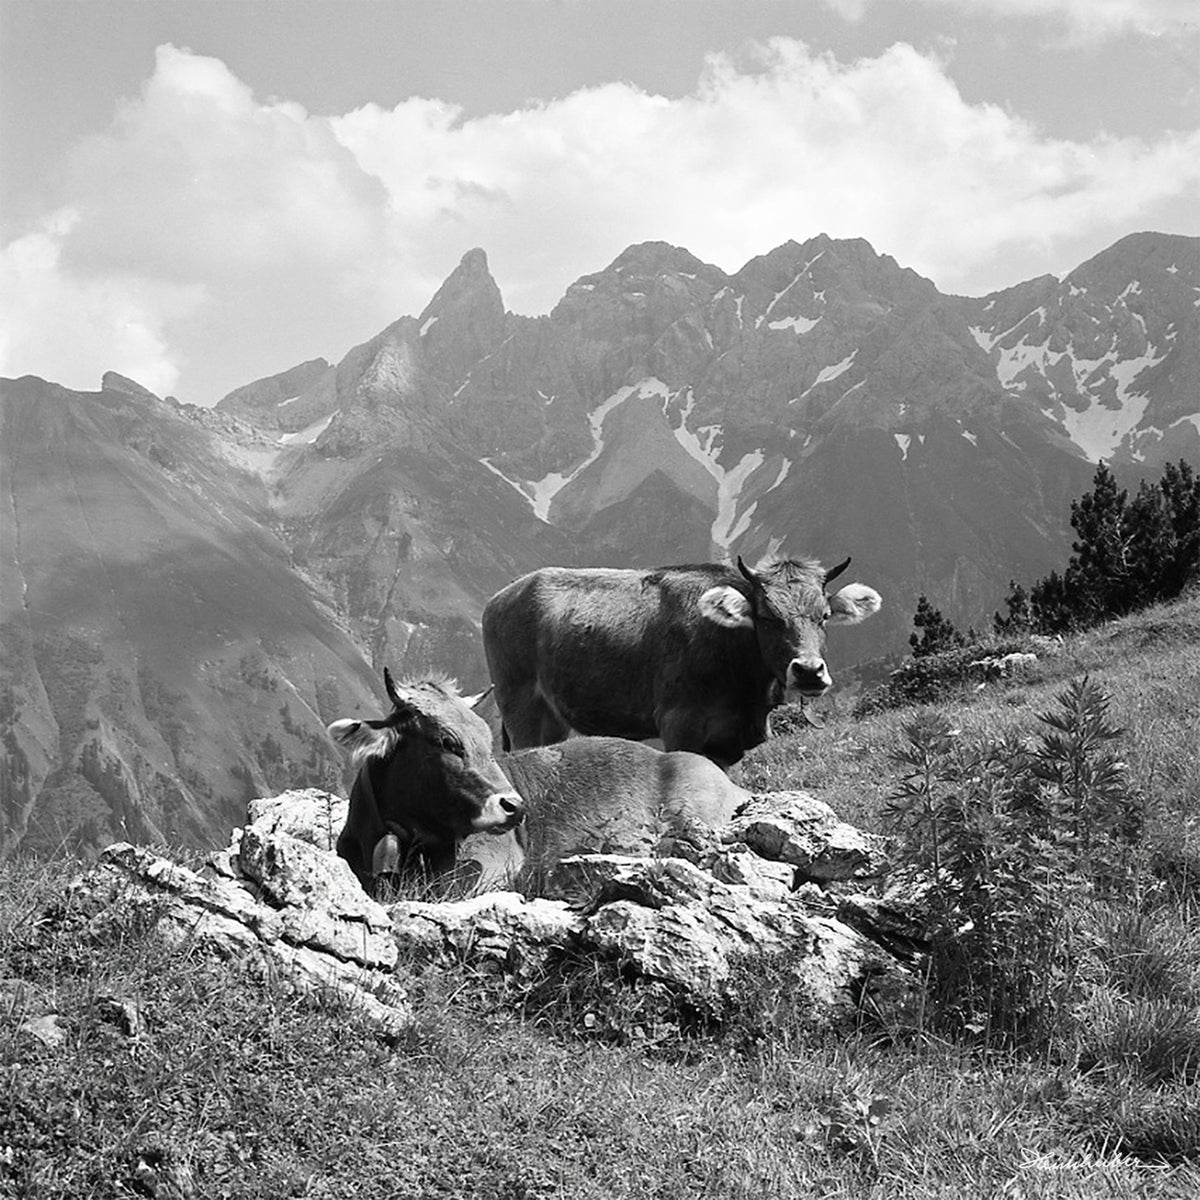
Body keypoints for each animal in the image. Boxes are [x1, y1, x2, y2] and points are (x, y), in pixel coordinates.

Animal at [481, 556, 882, 769]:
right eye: (767, 617)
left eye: (824, 616)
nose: (809, 671)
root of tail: (505, 593)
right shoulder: (679, 723)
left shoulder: (728, 740)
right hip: (520, 708)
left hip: (553, 720)